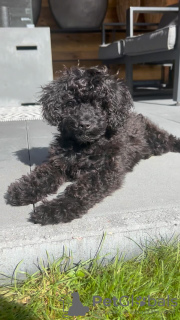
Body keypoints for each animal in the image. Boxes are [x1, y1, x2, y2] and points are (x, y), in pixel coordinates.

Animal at [5, 66, 180, 224]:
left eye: (101, 104)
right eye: (71, 103)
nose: (84, 124)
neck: (84, 146)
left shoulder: (105, 171)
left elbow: (82, 189)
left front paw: (56, 209)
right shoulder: (58, 161)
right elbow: (43, 174)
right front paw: (24, 189)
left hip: (157, 139)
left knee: (169, 139)